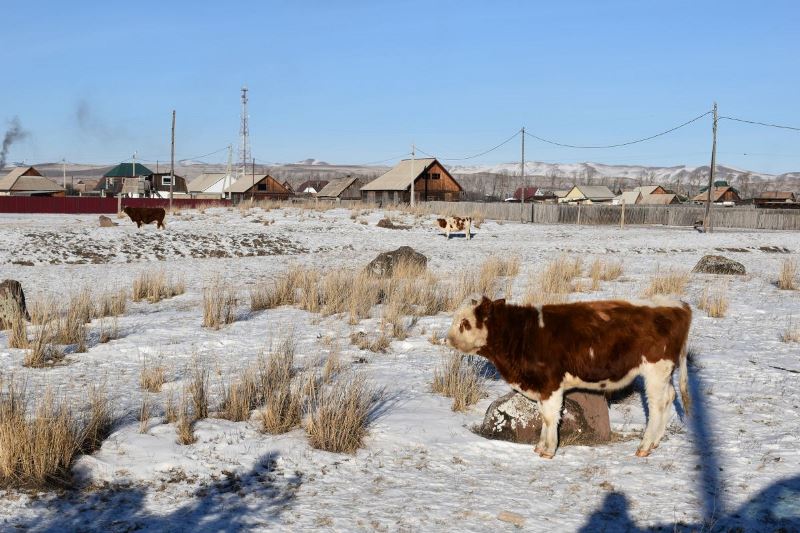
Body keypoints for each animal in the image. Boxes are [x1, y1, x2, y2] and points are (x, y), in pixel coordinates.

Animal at [446, 296, 692, 458]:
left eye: (465, 323)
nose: (447, 339)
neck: (522, 334)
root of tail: (679, 304)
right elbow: (544, 416)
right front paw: (540, 446)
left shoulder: (550, 384)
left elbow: (549, 417)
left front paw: (547, 450)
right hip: (664, 373)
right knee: (669, 398)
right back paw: (655, 442)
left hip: (656, 371)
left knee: (657, 405)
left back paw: (645, 446)